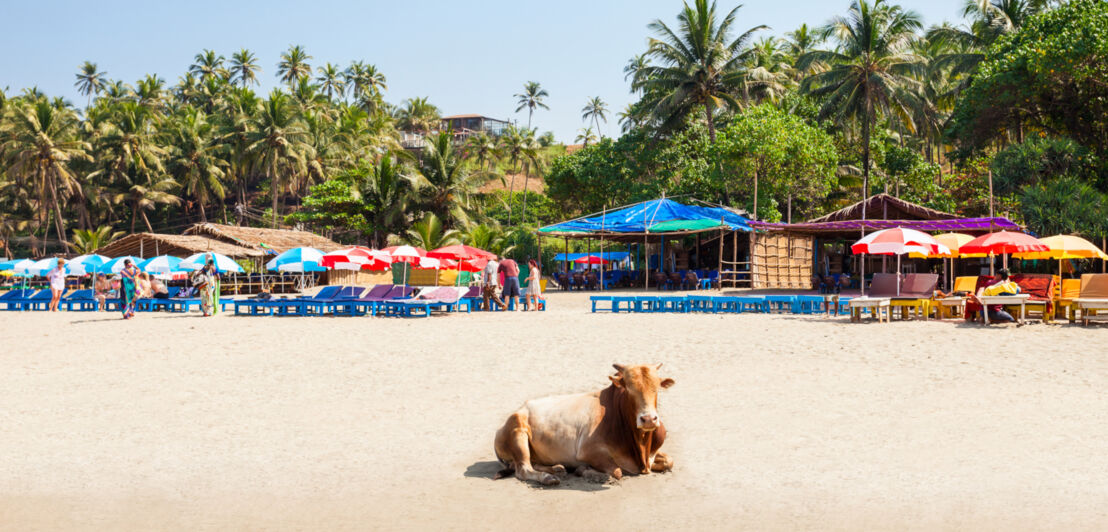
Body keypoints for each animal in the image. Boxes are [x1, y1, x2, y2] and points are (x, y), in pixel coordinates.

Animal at [494, 363, 673, 483]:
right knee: (523, 469)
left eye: (657, 388)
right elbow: (617, 471)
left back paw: (557, 469)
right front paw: (585, 470)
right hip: (518, 432)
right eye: (628, 388)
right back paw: (548, 478)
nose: (648, 419)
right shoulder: (588, 451)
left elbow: (669, 461)